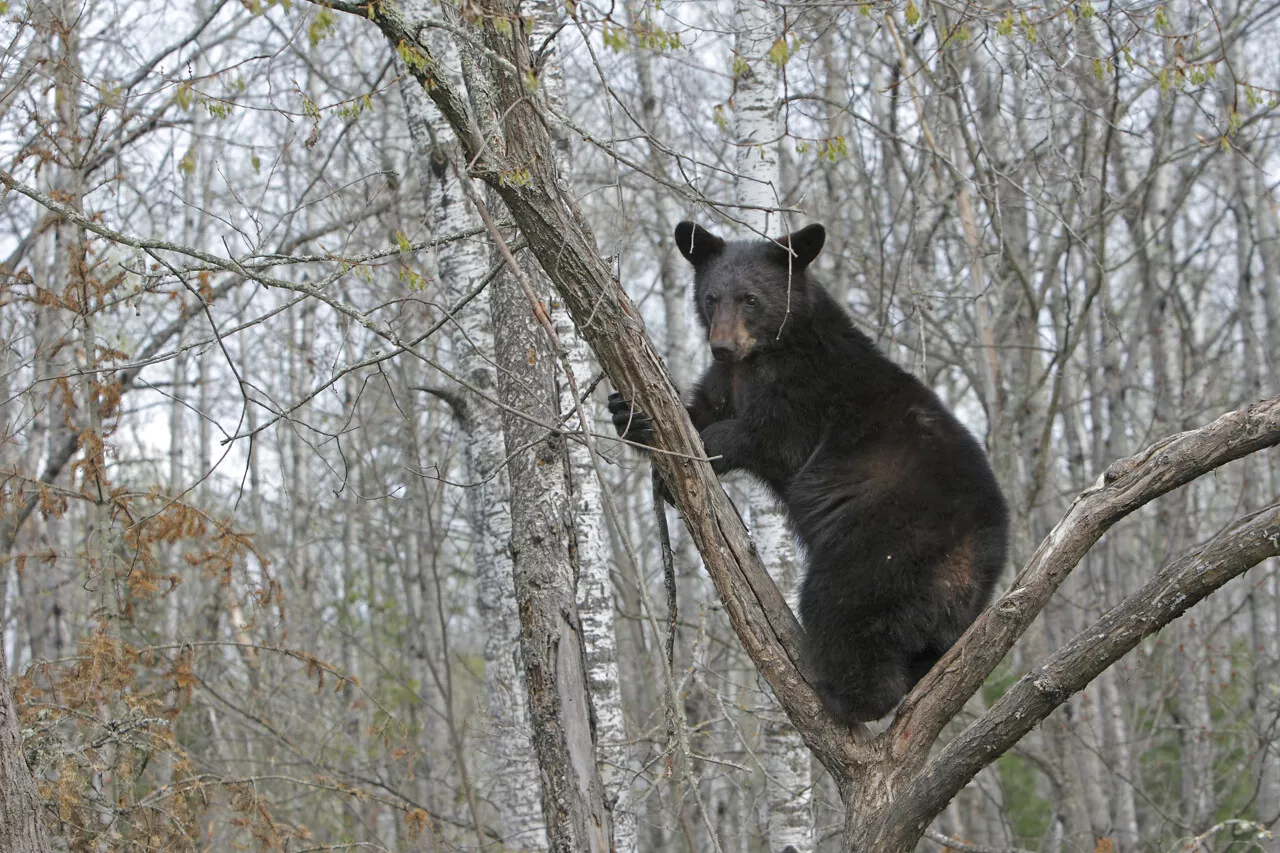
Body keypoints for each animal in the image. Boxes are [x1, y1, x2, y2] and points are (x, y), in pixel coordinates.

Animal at [609, 220, 1008, 722]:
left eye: (751, 298)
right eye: (711, 298)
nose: (722, 347)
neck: (762, 355)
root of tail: (976, 553)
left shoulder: (807, 389)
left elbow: (769, 437)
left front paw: (708, 446)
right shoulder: (725, 383)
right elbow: (692, 411)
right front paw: (630, 413)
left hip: (881, 545)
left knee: (841, 607)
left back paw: (847, 697)